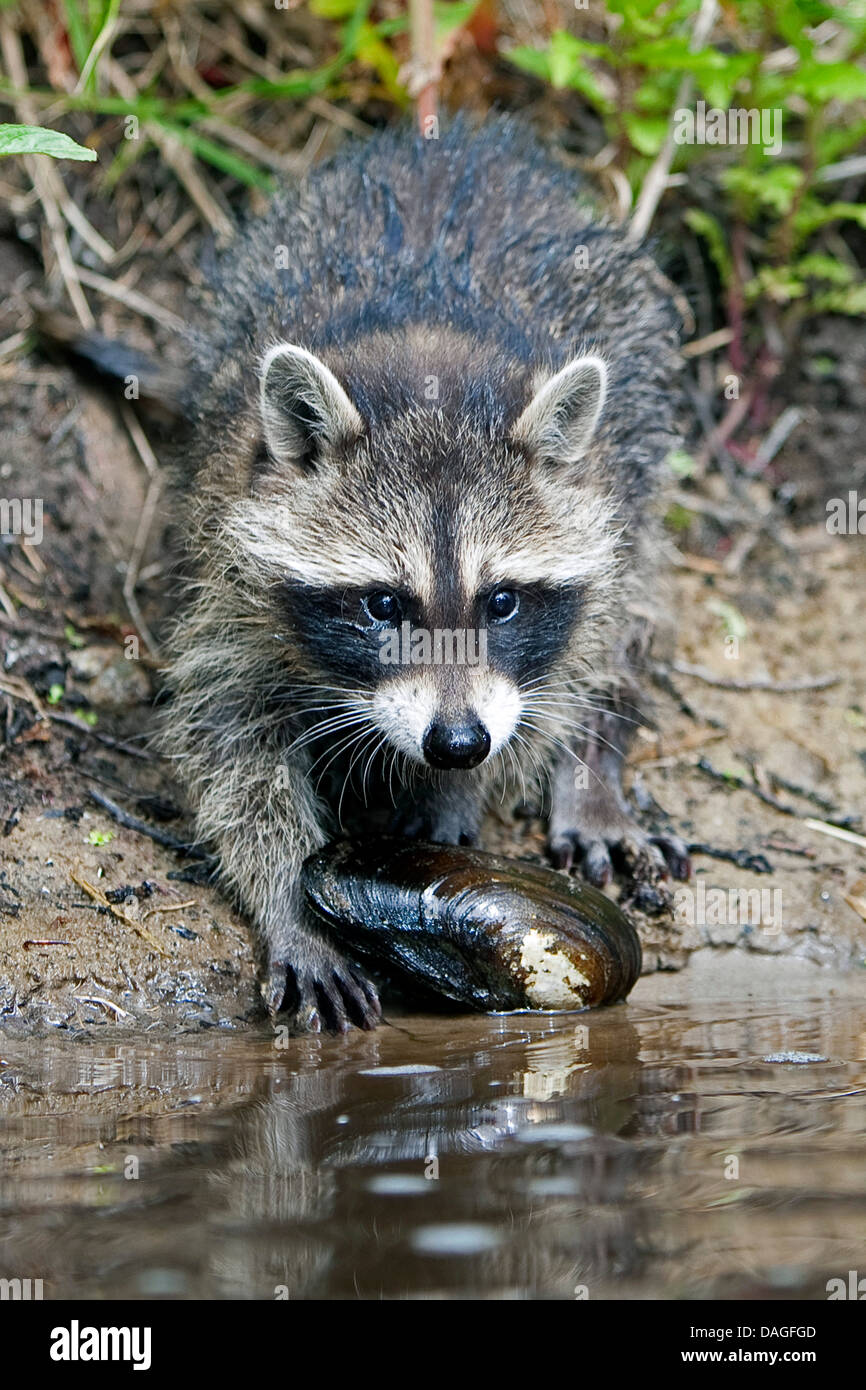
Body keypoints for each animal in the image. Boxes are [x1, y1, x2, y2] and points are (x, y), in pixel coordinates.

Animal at [161, 116, 692, 1034]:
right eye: (382, 605)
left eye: (502, 601)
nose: (457, 743)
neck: (428, 361)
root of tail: (456, 139)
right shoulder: (229, 570)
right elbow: (230, 739)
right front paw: (291, 902)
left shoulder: (600, 516)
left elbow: (557, 677)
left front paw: (462, 792)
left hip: (640, 435)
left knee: (625, 617)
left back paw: (594, 758)